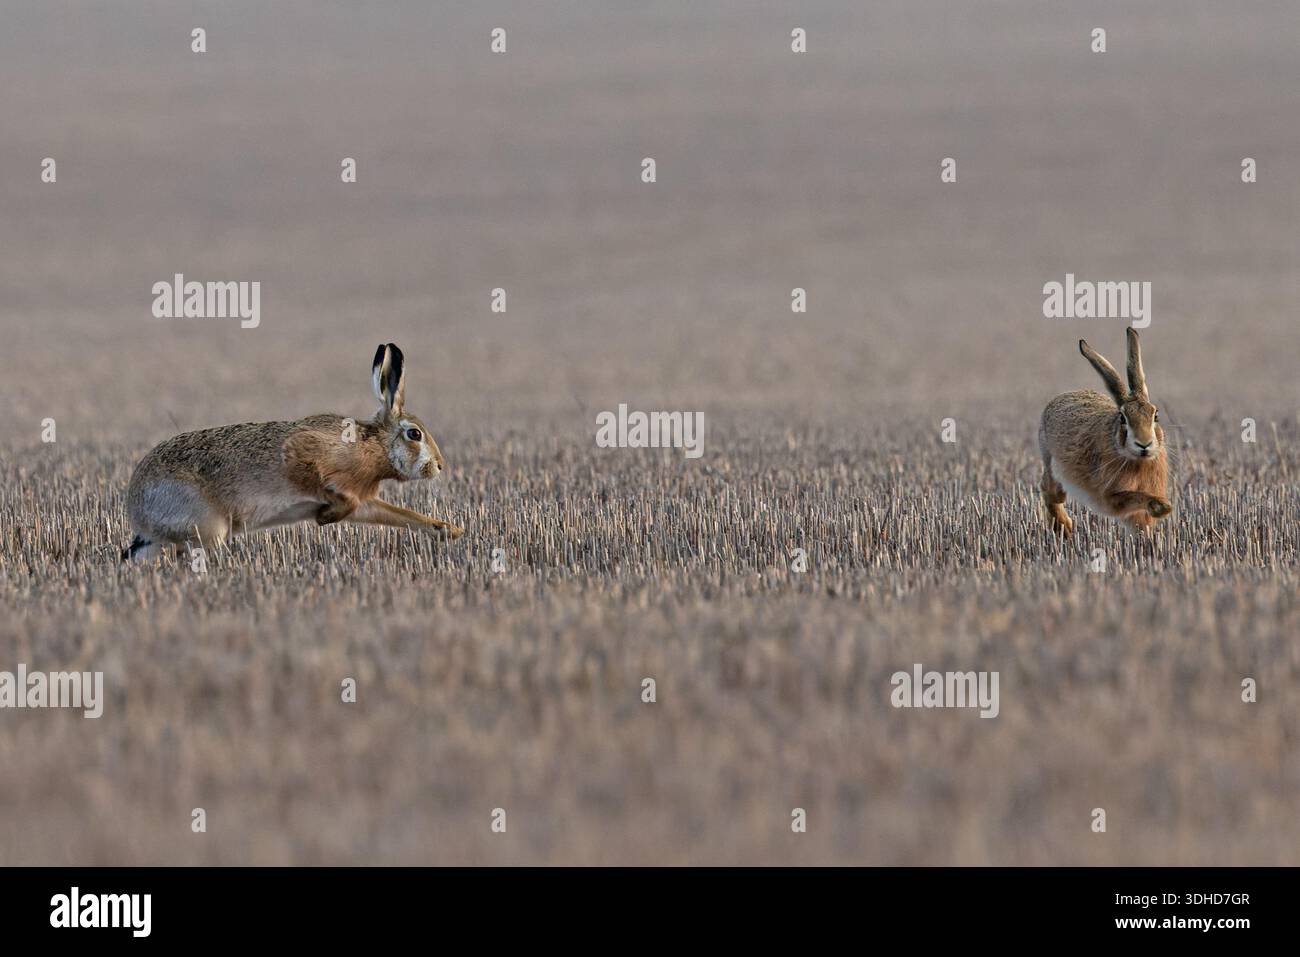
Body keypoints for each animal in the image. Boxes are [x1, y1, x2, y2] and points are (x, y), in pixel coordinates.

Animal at [122, 343, 463, 561]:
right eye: (414, 434)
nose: (439, 466)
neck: (375, 446)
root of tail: (137, 509)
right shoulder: (308, 458)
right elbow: (335, 493)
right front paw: (324, 517)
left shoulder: (366, 499)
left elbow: (399, 515)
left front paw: (450, 530)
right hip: (209, 528)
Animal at [1038, 328, 1171, 537]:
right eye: (1123, 418)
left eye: (1155, 415)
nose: (1144, 444)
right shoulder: (1111, 497)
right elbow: (1133, 496)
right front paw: (1161, 507)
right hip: (1052, 465)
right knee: (1049, 490)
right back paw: (1064, 528)